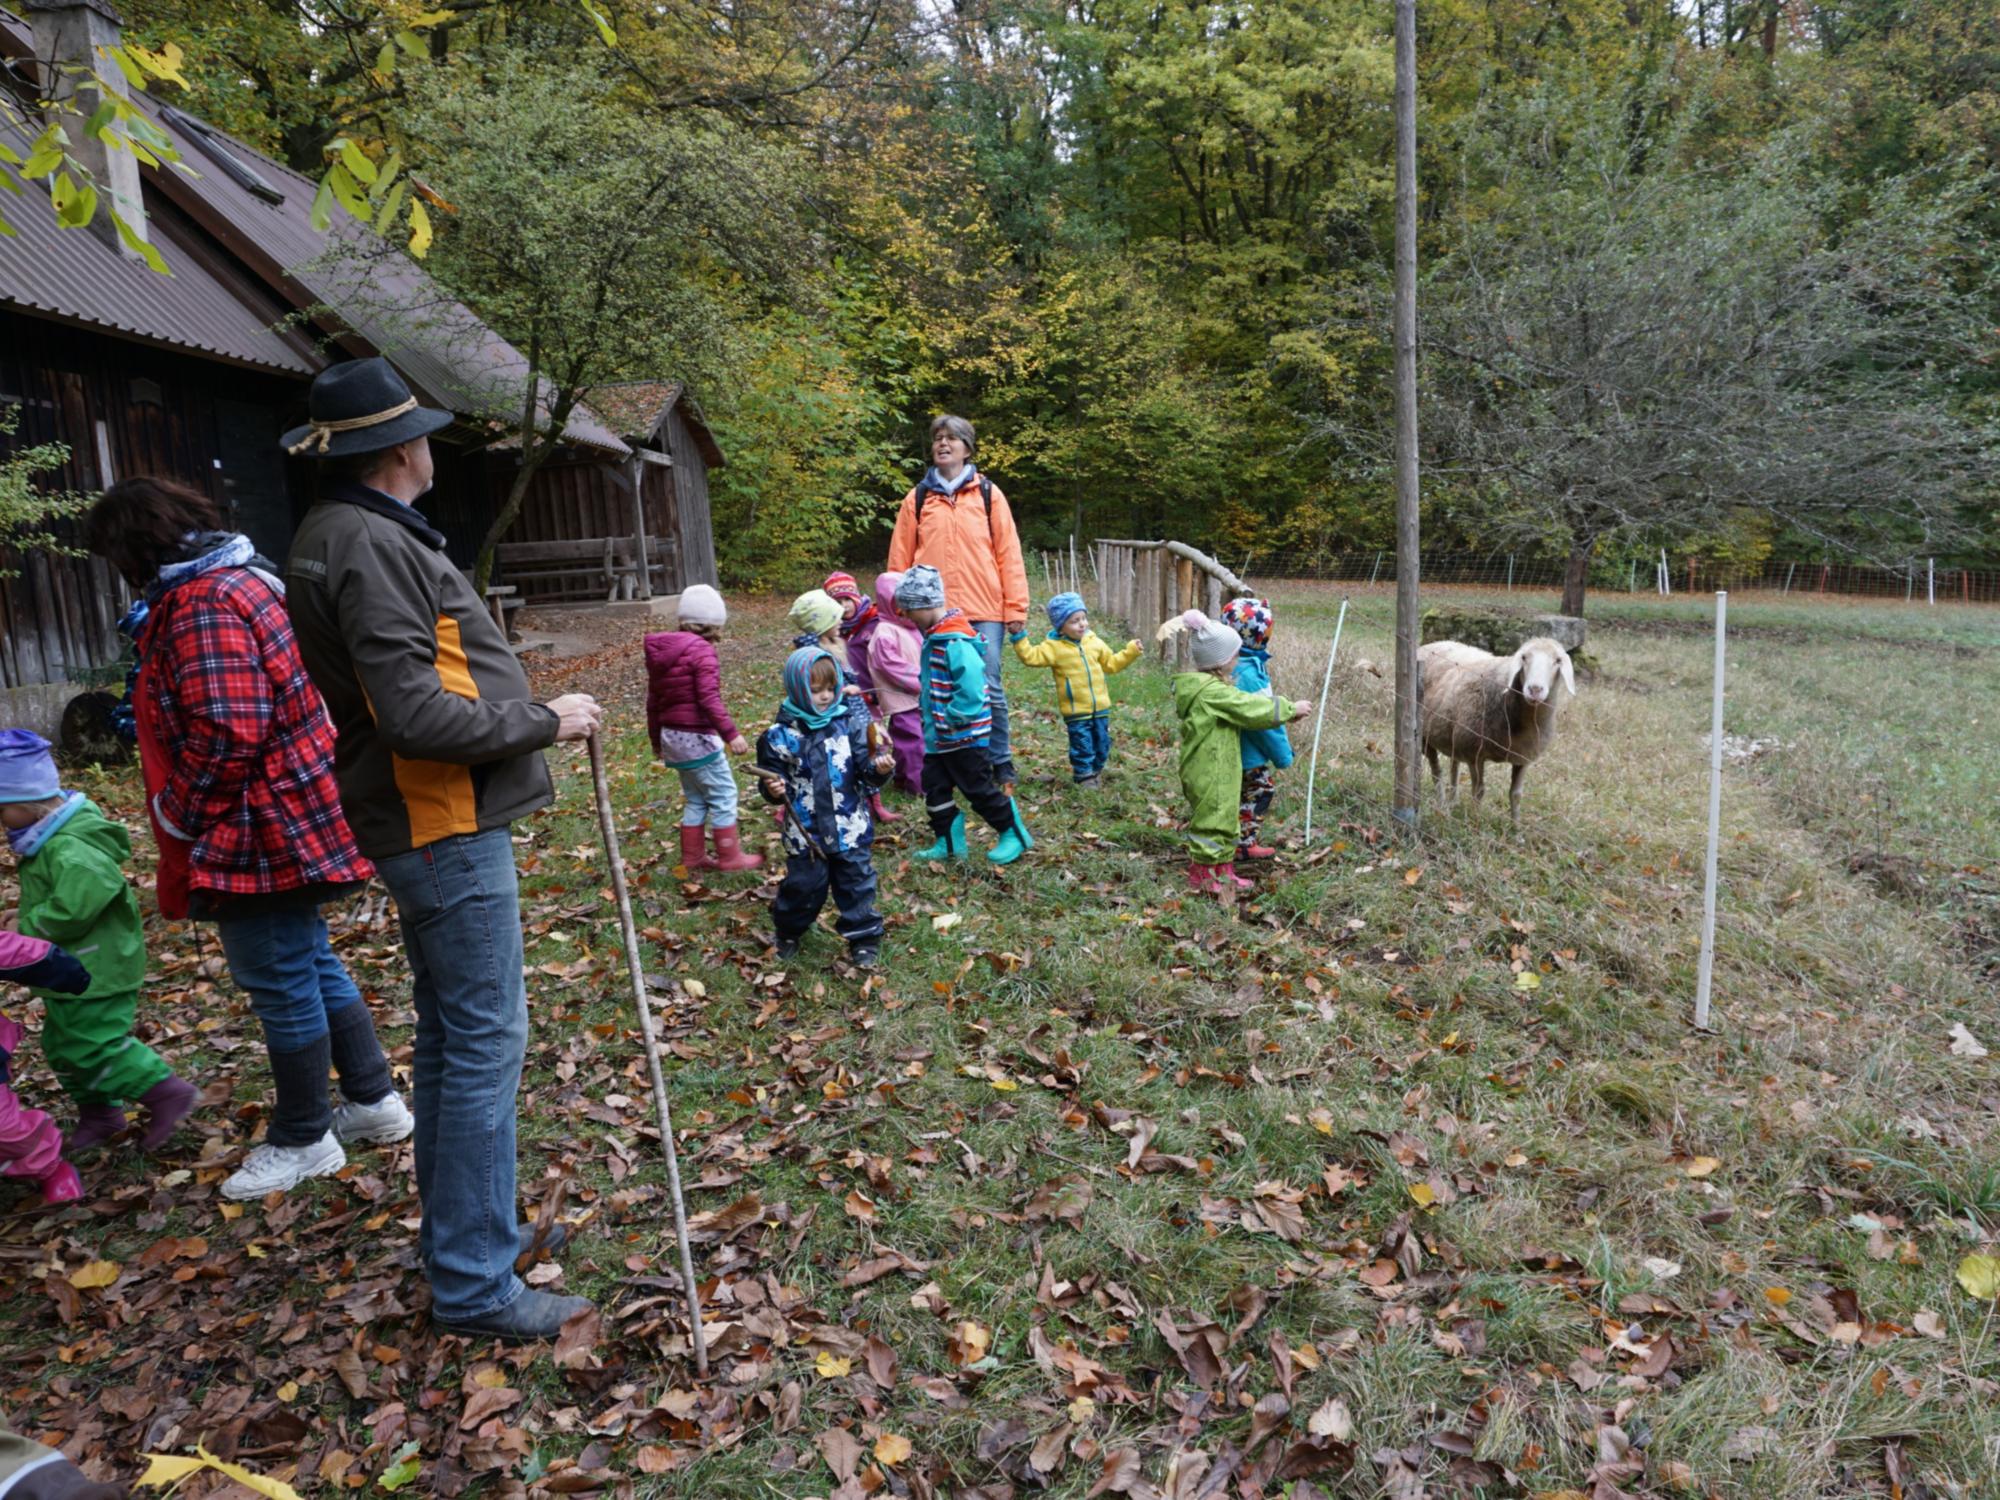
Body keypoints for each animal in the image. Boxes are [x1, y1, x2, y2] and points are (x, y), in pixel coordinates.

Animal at [1424, 636, 1576, 824]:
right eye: (1524, 657)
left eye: (1558, 660)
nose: (1535, 689)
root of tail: (1433, 643)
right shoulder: (1474, 754)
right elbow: (1478, 791)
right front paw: (1475, 821)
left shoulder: (1522, 757)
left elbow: (1516, 795)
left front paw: (1516, 828)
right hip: (1425, 735)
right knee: (1437, 771)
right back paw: (1442, 803)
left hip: (1454, 735)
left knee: (1454, 766)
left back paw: (1453, 801)